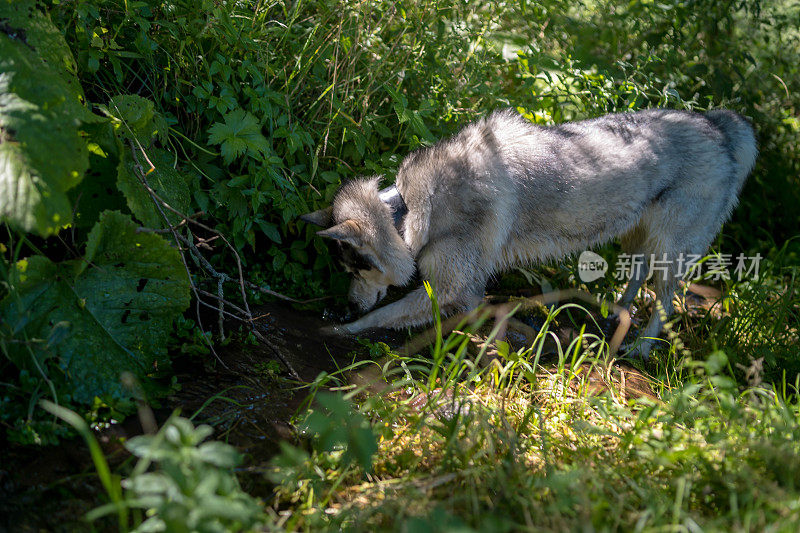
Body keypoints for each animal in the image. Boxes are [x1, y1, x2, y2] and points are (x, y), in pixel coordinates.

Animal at [300, 108, 756, 358]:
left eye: (356, 270)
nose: (347, 304)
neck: (408, 211)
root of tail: (719, 124)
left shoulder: (450, 286)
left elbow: (383, 316)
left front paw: (337, 330)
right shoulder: (465, 290)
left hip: (670, 251)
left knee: (665, 302)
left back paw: (641, 346)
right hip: (638, 239)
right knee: (637, 275)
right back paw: (617, 315)